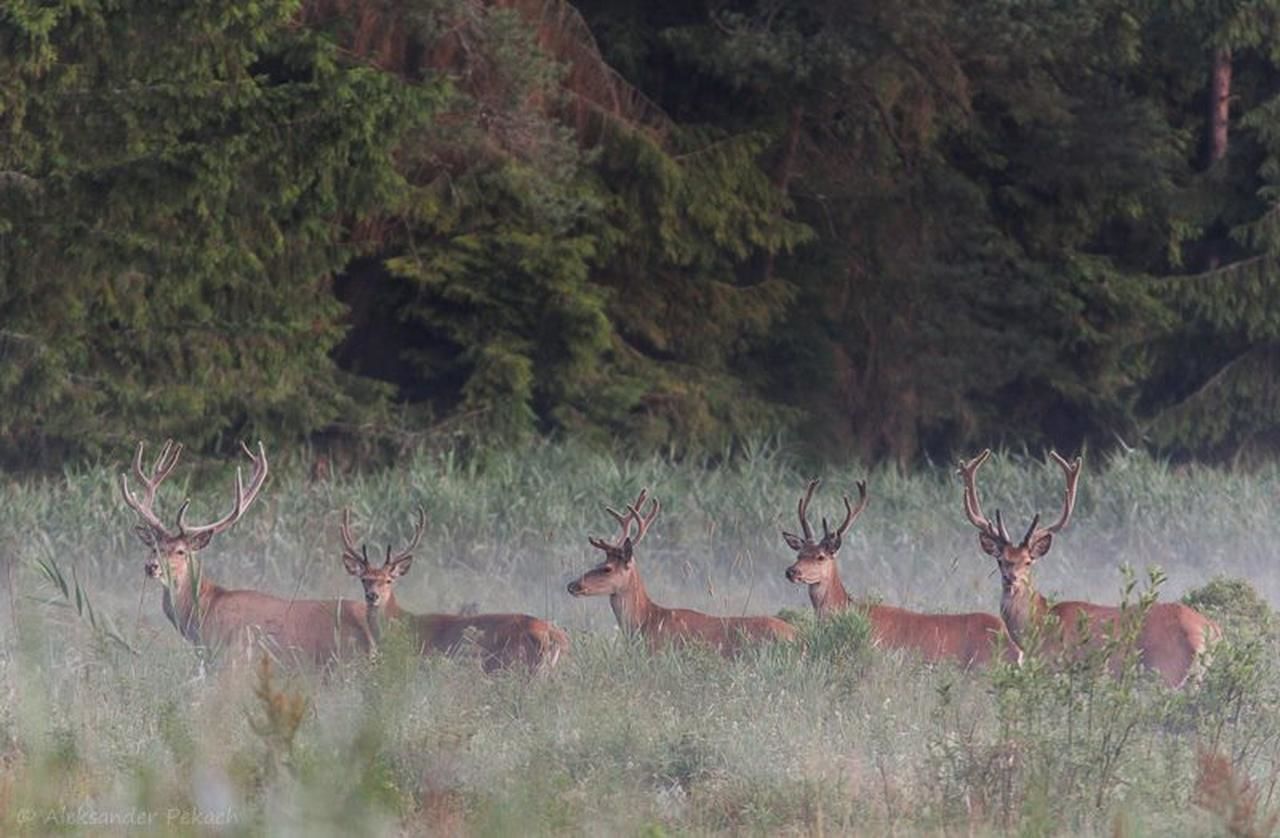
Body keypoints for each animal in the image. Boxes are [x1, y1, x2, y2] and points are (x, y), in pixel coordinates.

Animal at [337, 504, 568, 675]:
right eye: (364, 579)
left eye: (388, 580)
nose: (372, 596)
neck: (404, 624)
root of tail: (557, 636)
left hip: (520, 666)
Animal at [962, 450, 1218, 685]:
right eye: (1000, 559)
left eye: (1028, 561)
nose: (1011, 578)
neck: (1040, 626)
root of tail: (1213, 630)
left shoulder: (1060, 667)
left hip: (1170, 670)